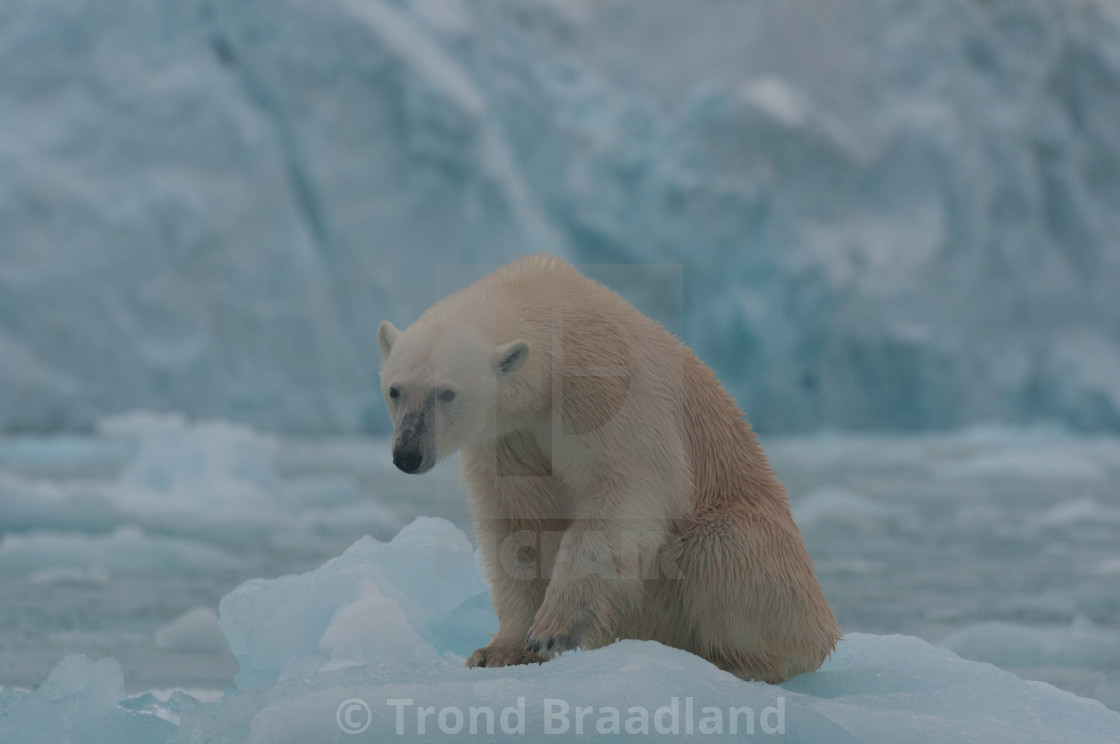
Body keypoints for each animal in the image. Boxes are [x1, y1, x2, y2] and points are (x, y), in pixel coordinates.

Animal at [376, 254, 842, 681]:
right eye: (395, 390)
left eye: (447, 393)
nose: (407, 454)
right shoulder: (511, 436)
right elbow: (520, 520)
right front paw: (499, 650)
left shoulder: (606, 386)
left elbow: (630, 486)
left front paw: (555, 627)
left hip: (762, 546)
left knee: (720, 550)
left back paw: (733, 662)